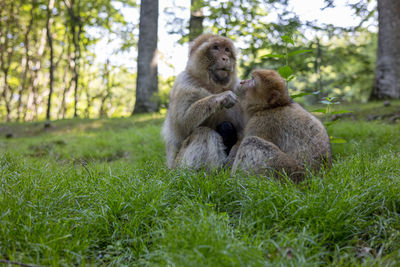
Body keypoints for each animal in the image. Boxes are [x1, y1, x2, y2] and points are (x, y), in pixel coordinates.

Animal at [162, 34, 244, 170]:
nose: (225, 58)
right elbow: (181, 126)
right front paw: (221, 97)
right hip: (176, 164)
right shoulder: (183, 84)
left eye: (227, 50)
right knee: (203, 132)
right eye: (216, 47)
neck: (212, 86)